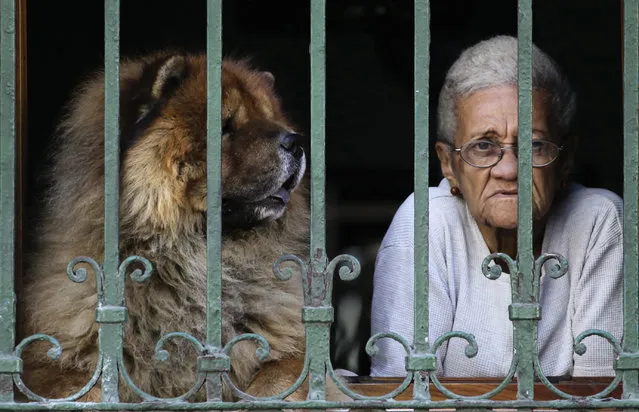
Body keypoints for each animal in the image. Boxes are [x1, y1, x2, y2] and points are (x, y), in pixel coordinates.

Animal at [20, 53, 336, 404]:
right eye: (225, 127)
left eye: (271, 121)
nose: (295, 141)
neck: (190, 261)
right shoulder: (51, 366)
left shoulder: (295, 353)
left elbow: (277, 382)